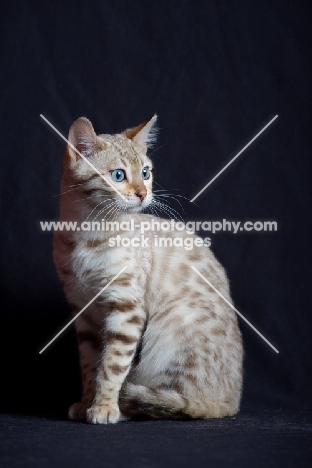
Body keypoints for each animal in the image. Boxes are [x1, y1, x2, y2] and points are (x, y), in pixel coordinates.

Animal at [53, 116, 244, 424]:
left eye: (145, 172)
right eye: (118, 175)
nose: (144, 194)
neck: (88, 234)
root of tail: (231, 401)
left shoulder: (126, 309)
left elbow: (112, 366)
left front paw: (104, 407)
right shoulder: (83, 312)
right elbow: (90, 366)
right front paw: (87, 402)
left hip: (171, 324)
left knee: (175, 401)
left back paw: (129, 408)